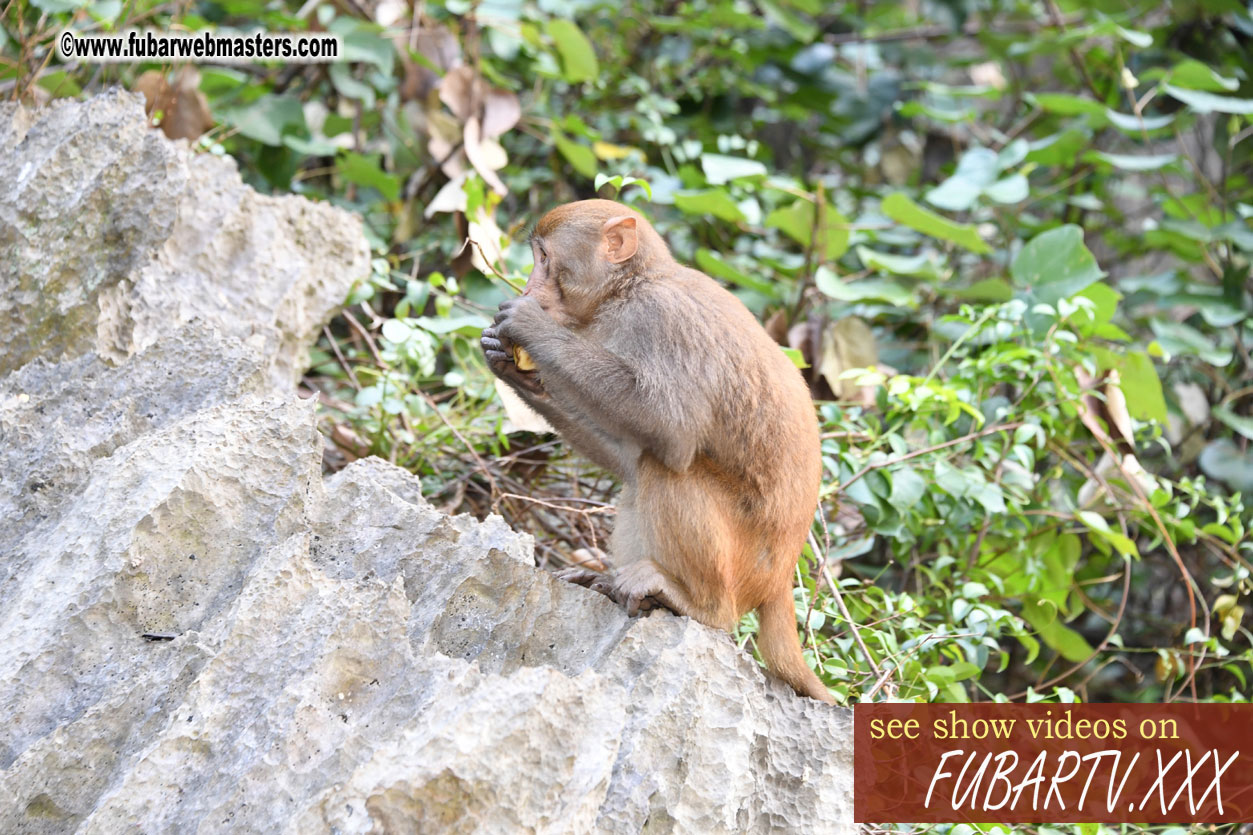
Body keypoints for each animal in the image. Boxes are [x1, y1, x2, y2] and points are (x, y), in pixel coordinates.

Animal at [478, 198, 831, 697]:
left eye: (544, 258)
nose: (529, 285)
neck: (630, 288)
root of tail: (781, 578)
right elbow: (627, 457)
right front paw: (509, 365)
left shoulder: (661, 319)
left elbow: (671, 431)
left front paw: (532, 328)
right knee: (639, 477)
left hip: (744, 566)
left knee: (662, 468)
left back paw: (699, 605)